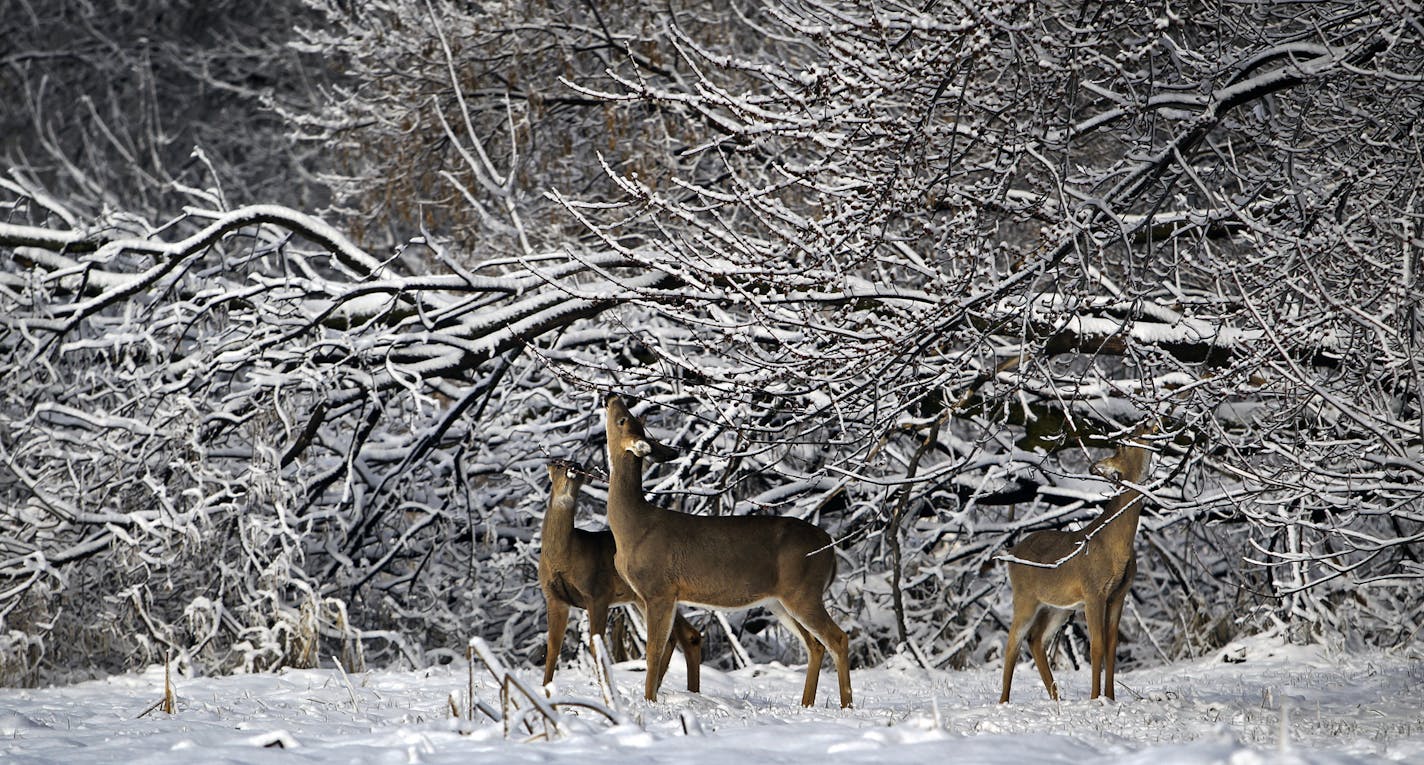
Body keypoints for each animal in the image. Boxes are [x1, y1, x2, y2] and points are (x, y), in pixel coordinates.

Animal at [535, 458, 703, 692]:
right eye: (559, 464)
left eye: (578, 465)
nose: (574, 467)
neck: (565, 555)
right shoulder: (554, 597)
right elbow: (553, 647)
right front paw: (545, 689)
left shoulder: (597, 592)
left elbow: (597, 645)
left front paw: (606, 689)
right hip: (643, 598)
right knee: (682, 635)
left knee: (679, 636)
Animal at [598, 396, 848, 706]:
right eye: (632, 419)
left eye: (623, 420)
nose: (611, 397)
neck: (633, 527)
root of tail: (830, 548)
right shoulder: (651, 594)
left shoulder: (659, 589)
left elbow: (654, 650)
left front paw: (649, 701)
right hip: (781, 600)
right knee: (815, 644)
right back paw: (806, 704)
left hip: (805, 591)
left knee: (838, 639)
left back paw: (846, 705)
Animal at [1002, 427, 1156, 700]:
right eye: (1123, 444)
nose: (1148, 426)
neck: (1116, 544)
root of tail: (1011, 552)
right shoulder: (1093, 590)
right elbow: (1097, 645)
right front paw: (1095, 699)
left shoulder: (1119, 593)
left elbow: (1112, 644)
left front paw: (1111, 698)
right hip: (1025, 596)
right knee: (1013, 642)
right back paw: (1004, 702)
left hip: (1058, 607)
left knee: (1036, 639)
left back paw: (1056, 698)